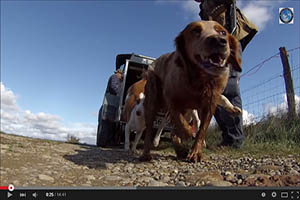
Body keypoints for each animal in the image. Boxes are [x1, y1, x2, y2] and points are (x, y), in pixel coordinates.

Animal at [140, 21, 241, 162]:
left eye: (223, 32)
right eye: (195, 31)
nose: (219, 41)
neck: (200, 80)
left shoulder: (209, 104)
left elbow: (201, 129)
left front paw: (195, 152)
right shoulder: (172, 100)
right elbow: (181, 124)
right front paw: (187, 135)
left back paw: (180, 150)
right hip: (152, 103)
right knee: (152, 130)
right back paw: (147, 152)